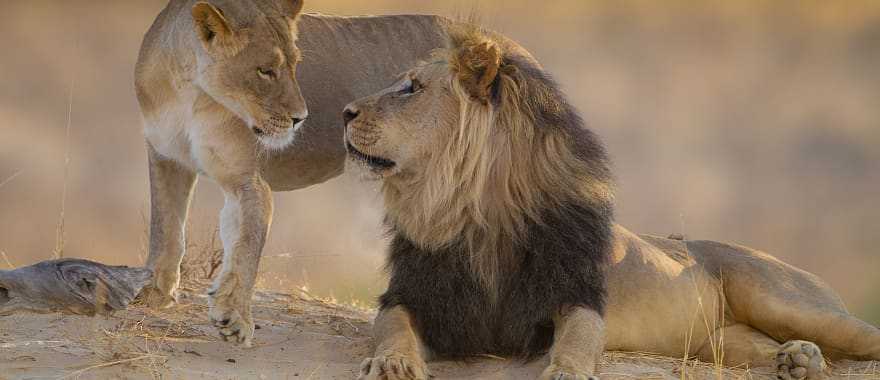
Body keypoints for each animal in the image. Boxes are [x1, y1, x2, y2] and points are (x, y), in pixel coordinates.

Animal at [138, 0, 454, 344]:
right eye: (265, 71)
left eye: (294, 66)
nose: (300, 118)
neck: (191, 91)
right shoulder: (166, 157)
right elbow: (166, 228)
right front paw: (154, 294)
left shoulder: (247, 181)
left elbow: (245, 249)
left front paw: (234, 317)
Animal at [346, 25, 880, 378]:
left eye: (412, 87)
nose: (345, 112)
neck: (474, 213)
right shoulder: (414, 298)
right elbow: (392, 328)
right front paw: (393, 362)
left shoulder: (576, 296)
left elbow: (578, 339)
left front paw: (566, 370)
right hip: (723, 344)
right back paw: (798, 359)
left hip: (785, 300)